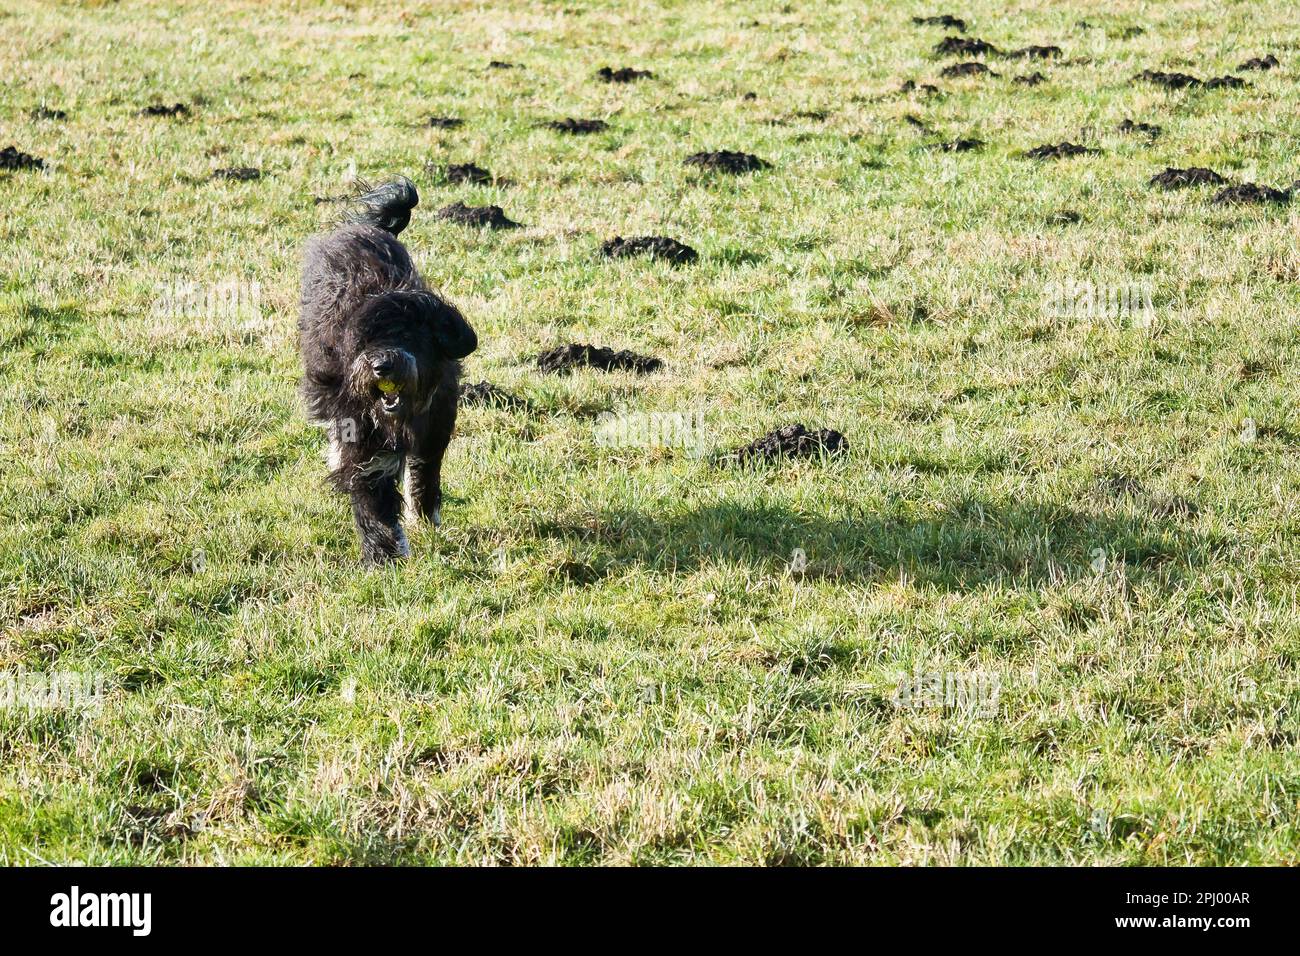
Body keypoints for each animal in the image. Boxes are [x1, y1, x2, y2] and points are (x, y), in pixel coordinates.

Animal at [299, 178, 478, 561]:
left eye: (408, 334)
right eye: (363, 341)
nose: (381, 366)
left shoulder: (436, 424)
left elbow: (425, 472)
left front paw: (424, 518)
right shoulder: (362, 433)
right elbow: (372, 488)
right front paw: (383, 555)